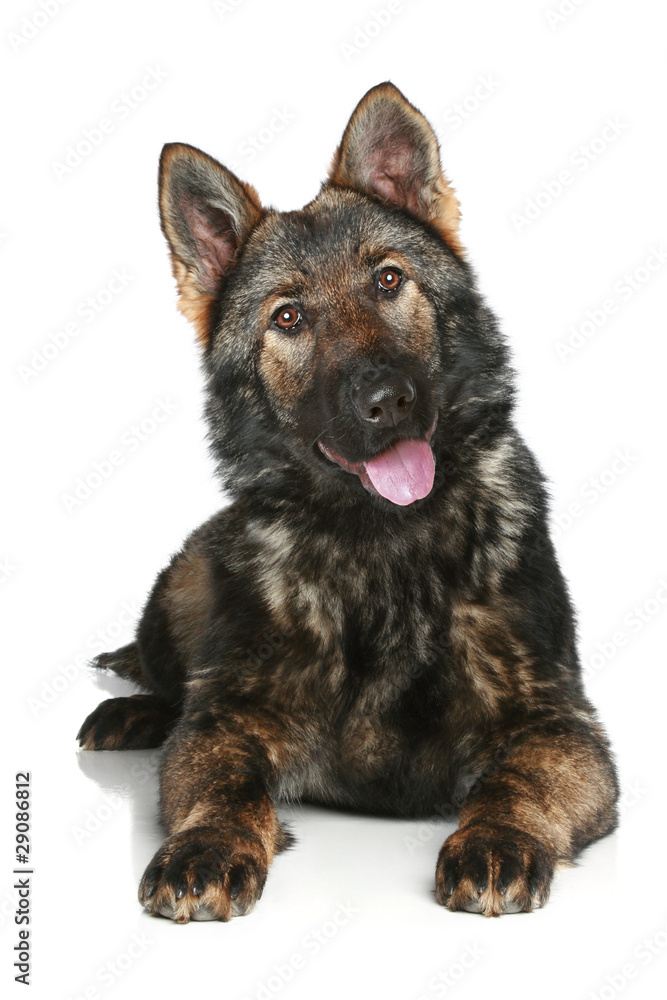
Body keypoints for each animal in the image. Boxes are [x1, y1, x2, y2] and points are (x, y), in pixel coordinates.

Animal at [78, 84, 620, 920]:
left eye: (389, 281)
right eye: (288, 317)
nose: (386, 400)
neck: (384, 549)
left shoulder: (561, 726)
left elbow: (515, 780)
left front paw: (496, 837)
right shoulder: (229, 720)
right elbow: (223, 781)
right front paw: (209, 844)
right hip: (184, 582)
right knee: (171, 684)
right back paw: (134, 709)